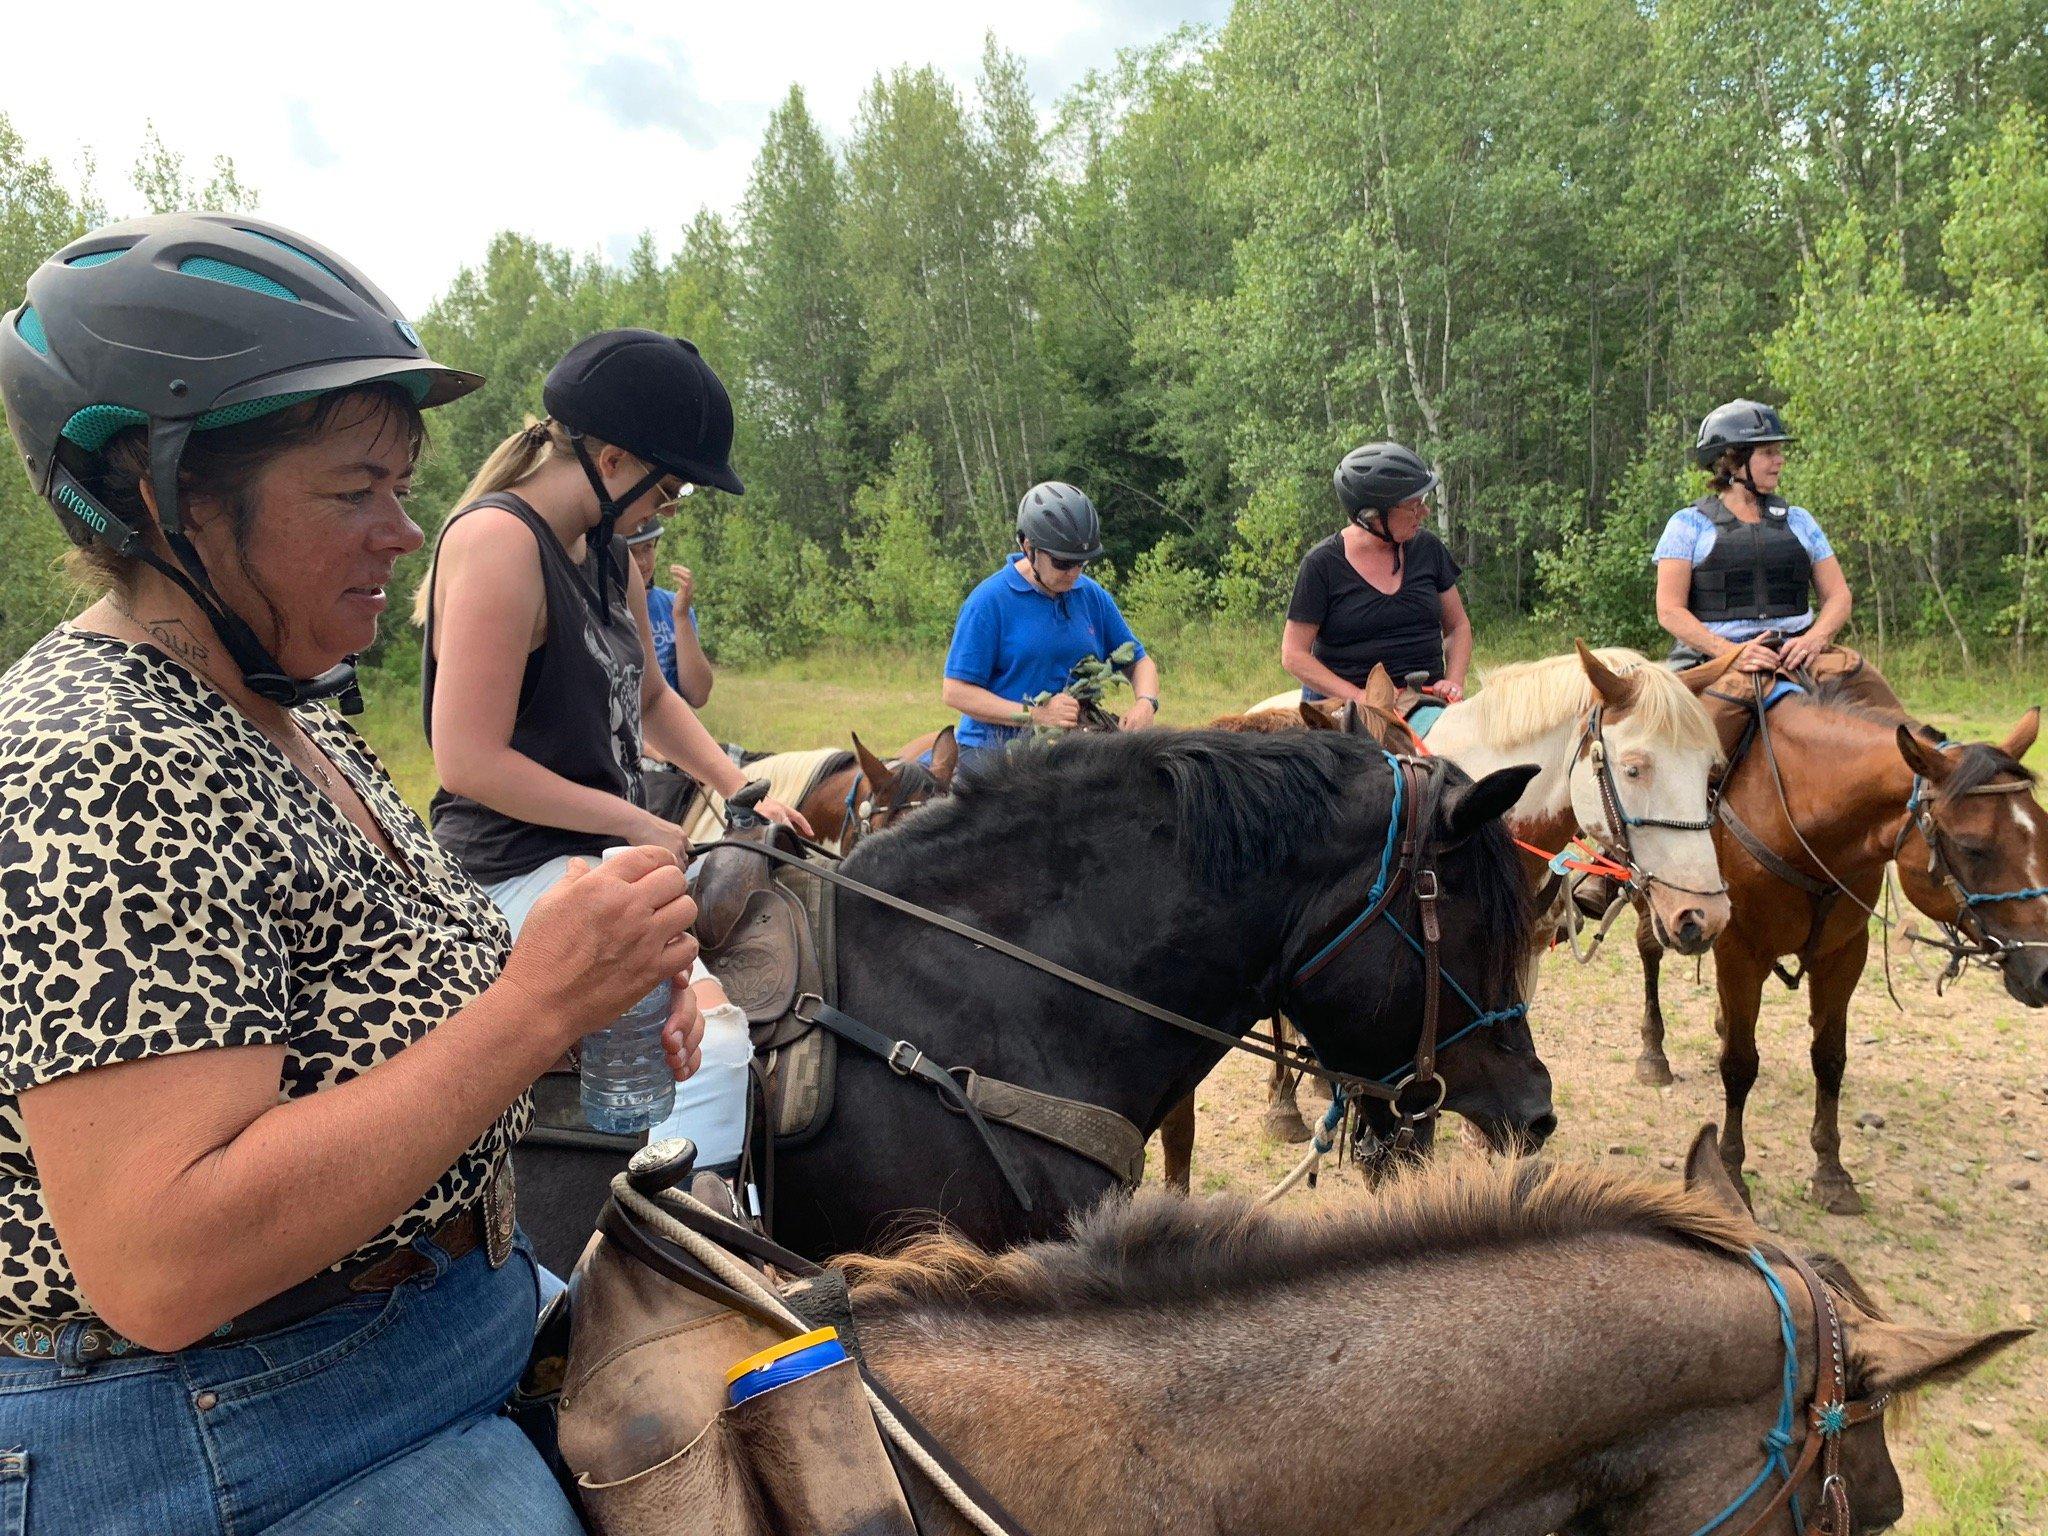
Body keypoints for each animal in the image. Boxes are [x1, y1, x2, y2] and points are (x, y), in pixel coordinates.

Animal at [1638, 671, 2048, 1212]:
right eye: (1973, 847)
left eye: (2044, 833)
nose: (2045, 971)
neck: (1803, 819)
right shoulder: (1740, 951)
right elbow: (1740, 1065)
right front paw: (1730, 1173)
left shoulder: (1844, 954)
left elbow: (1829, 1059)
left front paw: (1831, 1173)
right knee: (1649, 951)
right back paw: (1653, 1056)